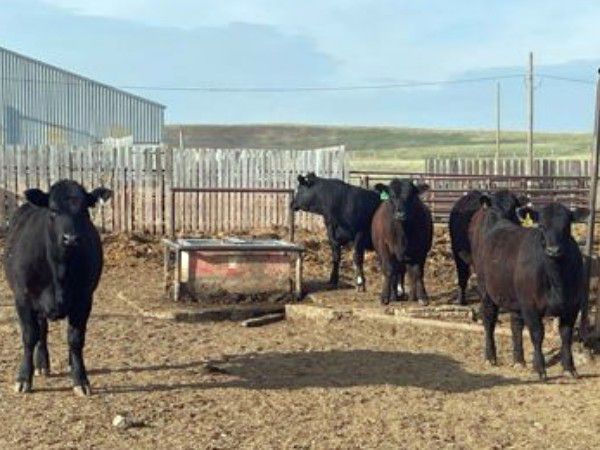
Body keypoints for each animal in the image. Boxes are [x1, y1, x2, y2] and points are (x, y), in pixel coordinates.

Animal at [3, 180, 112, 396]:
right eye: (53, 211)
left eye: (85, 210)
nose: (71, 238)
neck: (59, 269)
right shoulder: (23, 298)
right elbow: (29, 336)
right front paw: (23, 378)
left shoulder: (84, 299)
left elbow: (76, 338)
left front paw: (80, 379)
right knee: (42, 330)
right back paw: (42, 364)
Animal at [469, 197, 588, 381]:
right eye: (541, 226)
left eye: (566, 226)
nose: (553, 250)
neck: (556, 278)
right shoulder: (530, 306)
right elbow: (537, 335)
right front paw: (540, 369)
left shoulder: (572, 306)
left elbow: (566, 335)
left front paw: (569, 368)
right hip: (486, 290)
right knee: (489, 320)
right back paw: (490, 357)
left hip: (515, 298)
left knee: (516, 324)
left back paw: (519, 360)